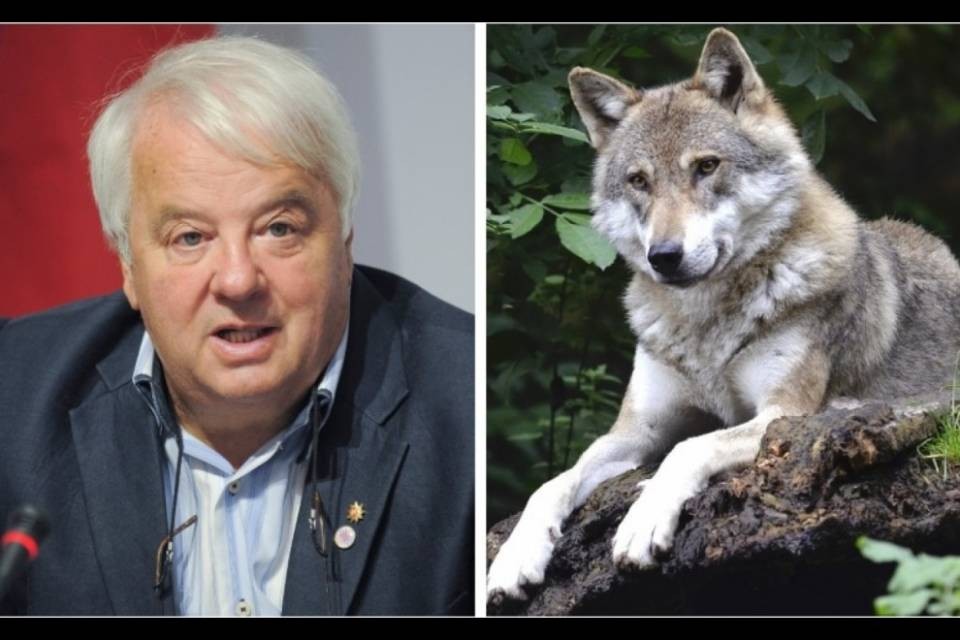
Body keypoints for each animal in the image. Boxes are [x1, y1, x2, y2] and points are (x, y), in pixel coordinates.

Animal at [487, 27, 960, 602]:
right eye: (639, 181)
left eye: (706, 166)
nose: (664, 256)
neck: (705, 325)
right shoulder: (635, 431)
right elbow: (553, 483)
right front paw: (514, 558)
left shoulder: (784, 415)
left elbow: (689, 448)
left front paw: (643, 522)